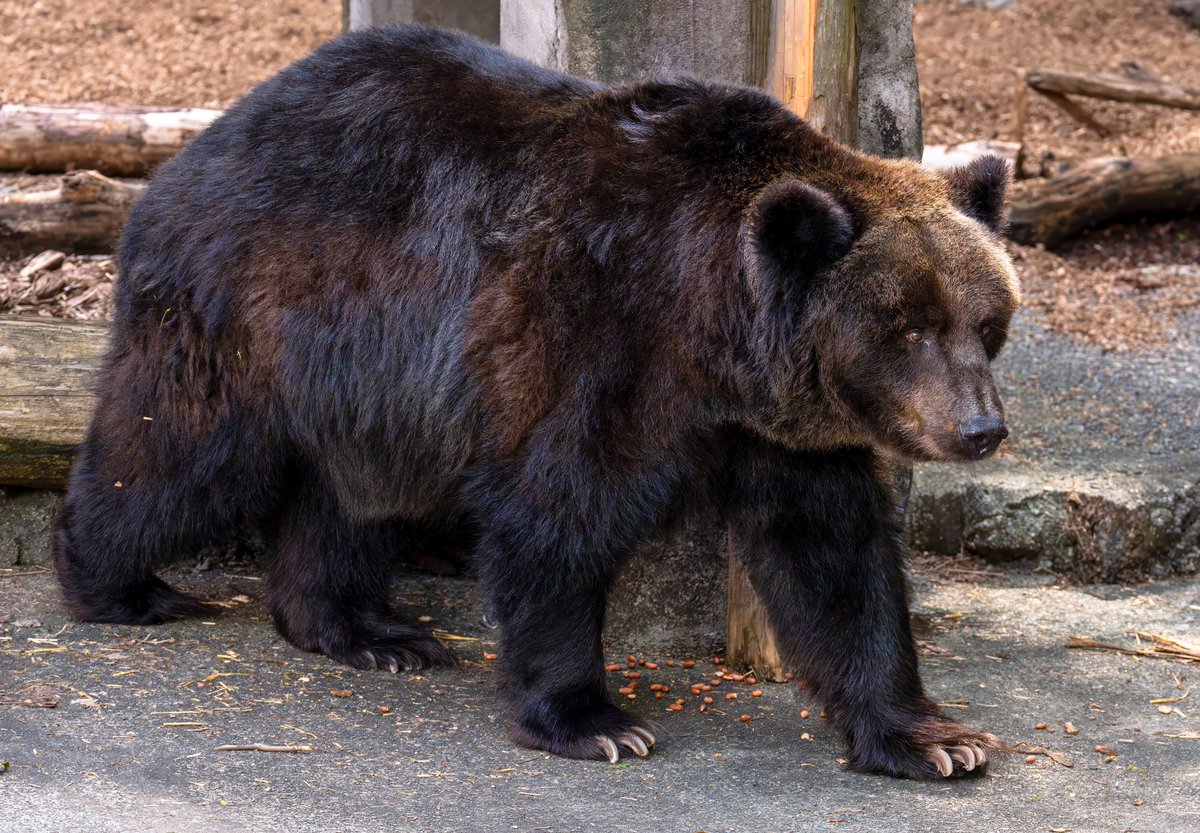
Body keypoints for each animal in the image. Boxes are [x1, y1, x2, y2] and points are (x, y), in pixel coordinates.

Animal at [53, 25, 1019, 780]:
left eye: (986, 321)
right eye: (908, 327)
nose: (980, 427)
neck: (713, 333)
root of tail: (195, 148)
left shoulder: (782, 429)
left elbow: (834, 555)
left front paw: (935, 737)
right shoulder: (590, 334)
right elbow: (558, 513)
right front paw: (594, 719)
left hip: (370, 381)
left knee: (350, 493)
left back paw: (368, 628)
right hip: (260, 305)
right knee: (179, 449)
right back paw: (117, 582)